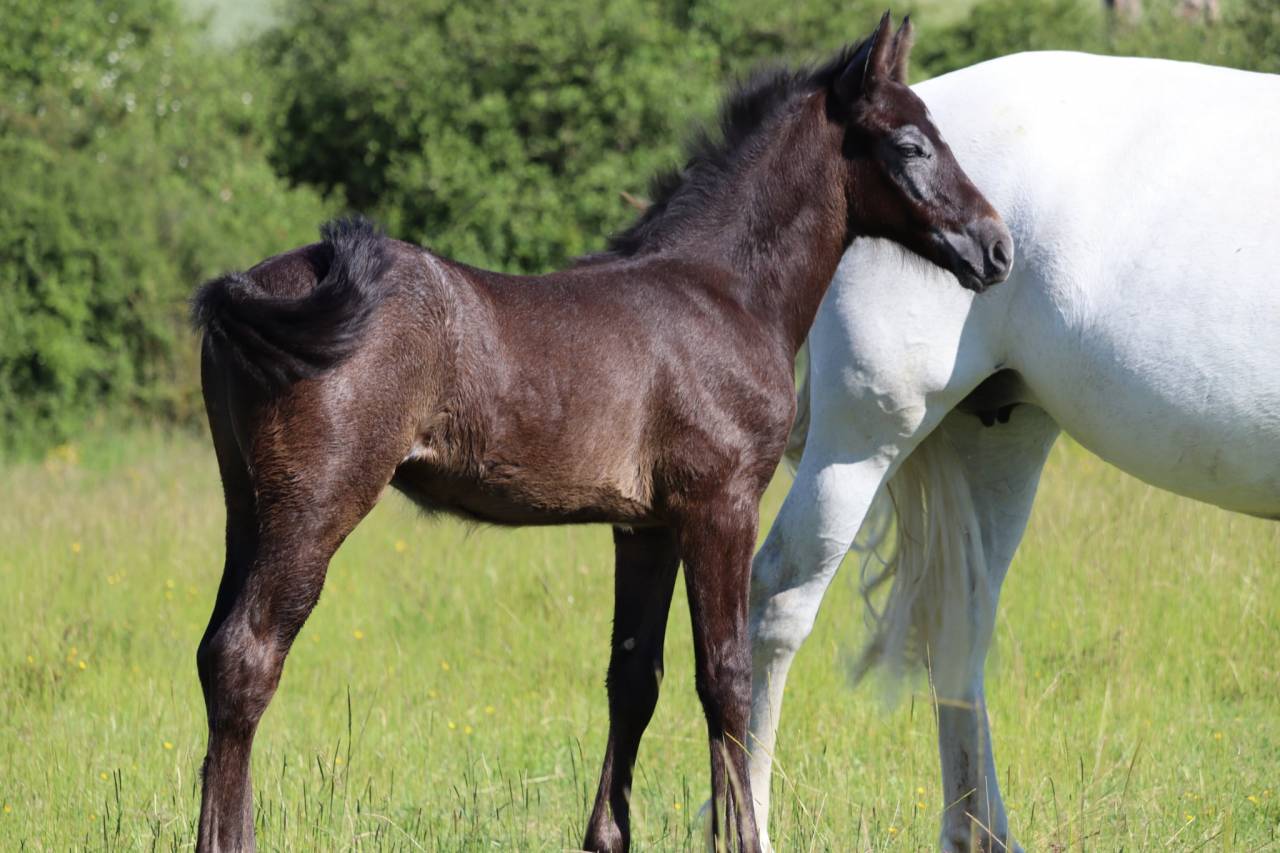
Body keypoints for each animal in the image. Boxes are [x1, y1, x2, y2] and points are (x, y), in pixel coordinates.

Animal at [188, 14, 1011, 852]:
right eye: (910, 143)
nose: (996, 248)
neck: (725, 293)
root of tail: (257, 289)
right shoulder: (720, 505)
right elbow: (725, 674)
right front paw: (739, 835)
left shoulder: (644, 524)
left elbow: (633, 676)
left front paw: (609, 834)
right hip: (315, 504)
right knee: (248, 657)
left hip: (244, 505)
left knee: (216, 651)